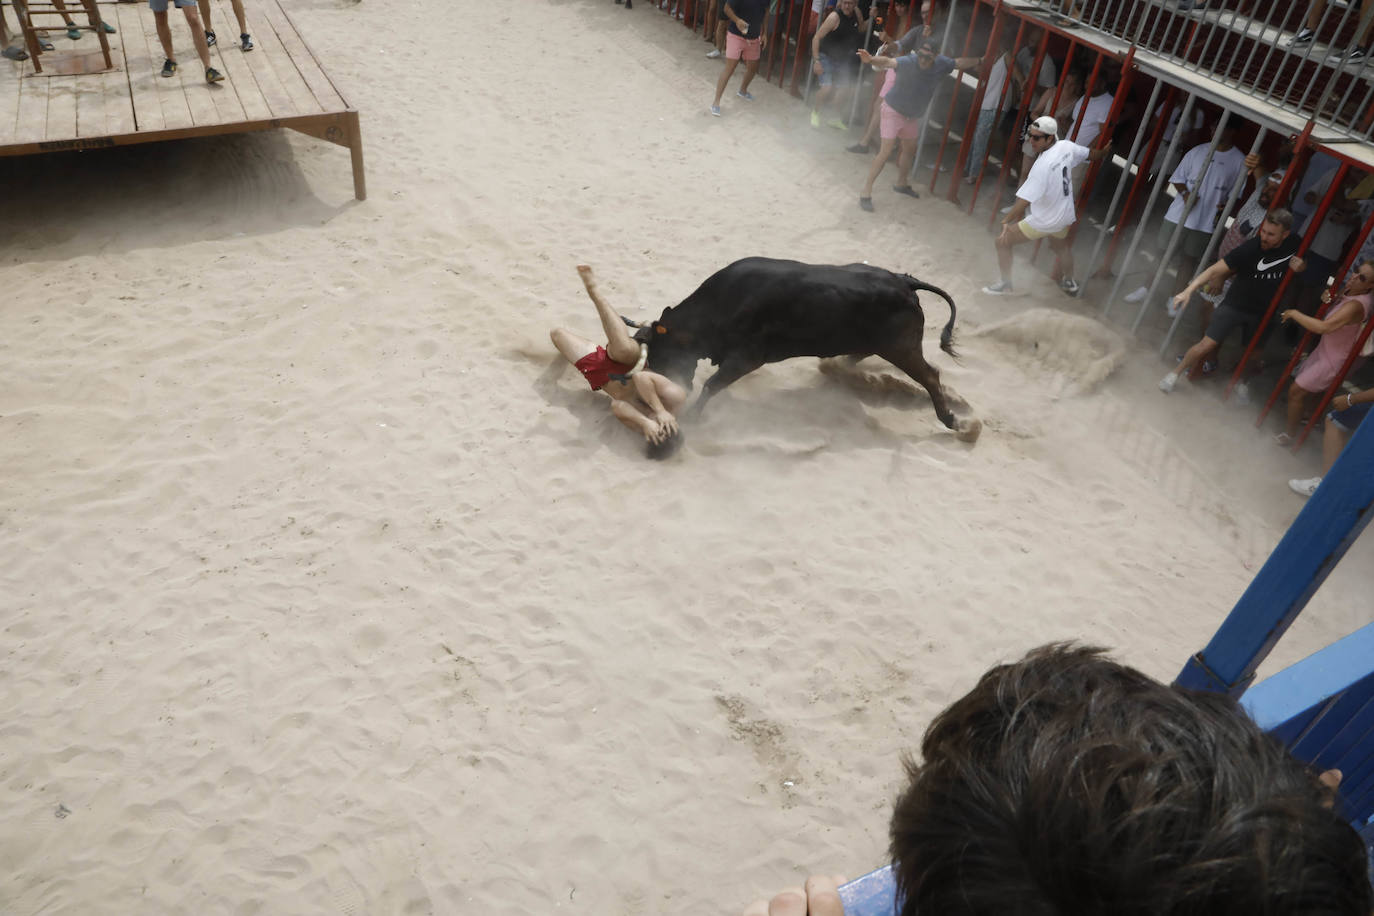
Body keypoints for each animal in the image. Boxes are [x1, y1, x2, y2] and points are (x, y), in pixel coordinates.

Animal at [637, 258, 961, 431]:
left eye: (660, 354)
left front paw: (693, 416)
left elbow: (712, 385)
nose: (669, 387)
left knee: (930, 375)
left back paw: (949, 419)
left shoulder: (746, 358)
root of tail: (905, 282)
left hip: (901, 348)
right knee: (859, 355)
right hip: (882, 344)